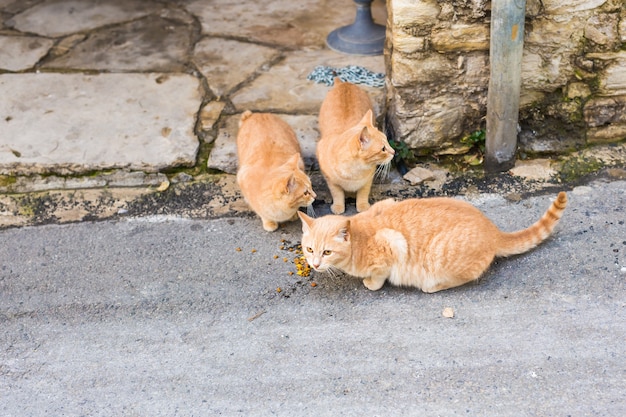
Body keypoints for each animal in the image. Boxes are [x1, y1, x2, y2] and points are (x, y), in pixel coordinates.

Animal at [298, 193, 564, 292]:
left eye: (327, 252)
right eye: (309, 249)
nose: (315, 264)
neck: (359, 241)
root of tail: (493, 230)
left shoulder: (392, 243)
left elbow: (379, 275)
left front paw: (371, 283)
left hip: (440, 257)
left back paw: (432, 285)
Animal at [316, 78, 394, 214]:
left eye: (388, 142)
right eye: (383, 149)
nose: (394, 152)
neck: (355, 170)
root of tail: (343, 83)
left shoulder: (368, 179)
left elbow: (363, 191)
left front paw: (362, 205)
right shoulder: (330, 180)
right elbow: (337, 193)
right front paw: (338, 206)